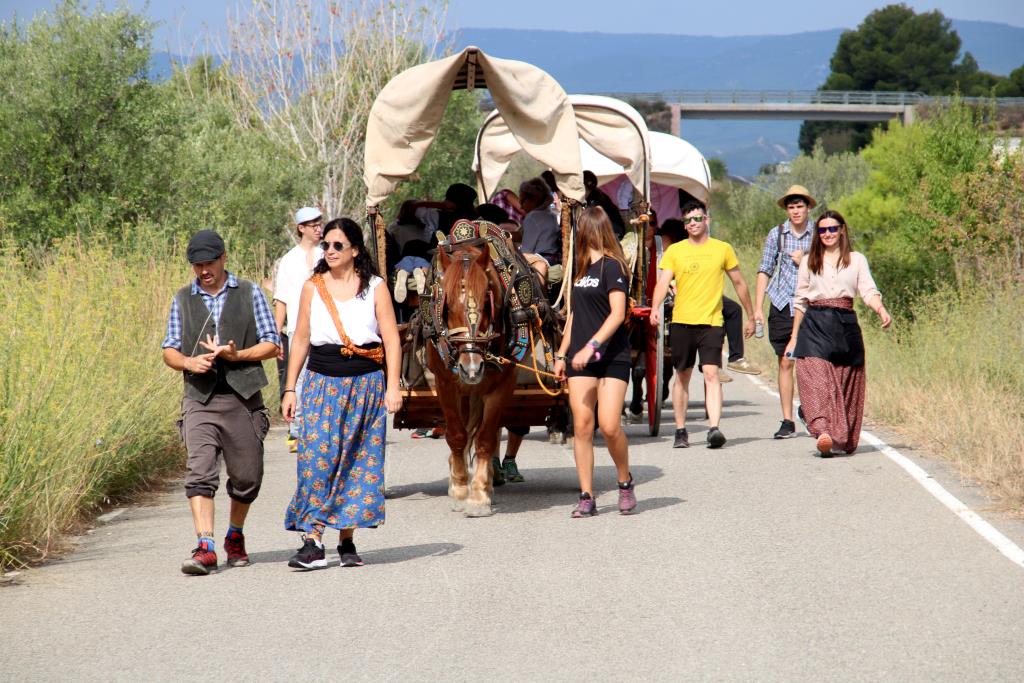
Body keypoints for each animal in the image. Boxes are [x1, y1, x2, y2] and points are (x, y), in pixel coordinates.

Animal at [425, 242, 516, 516]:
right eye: (447, 303)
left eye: (488, 300)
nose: (471, 368)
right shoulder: (445, 383)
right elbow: (457, 434)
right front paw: (459, 489)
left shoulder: (502, 383)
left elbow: (485, 438)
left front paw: (478, 496)